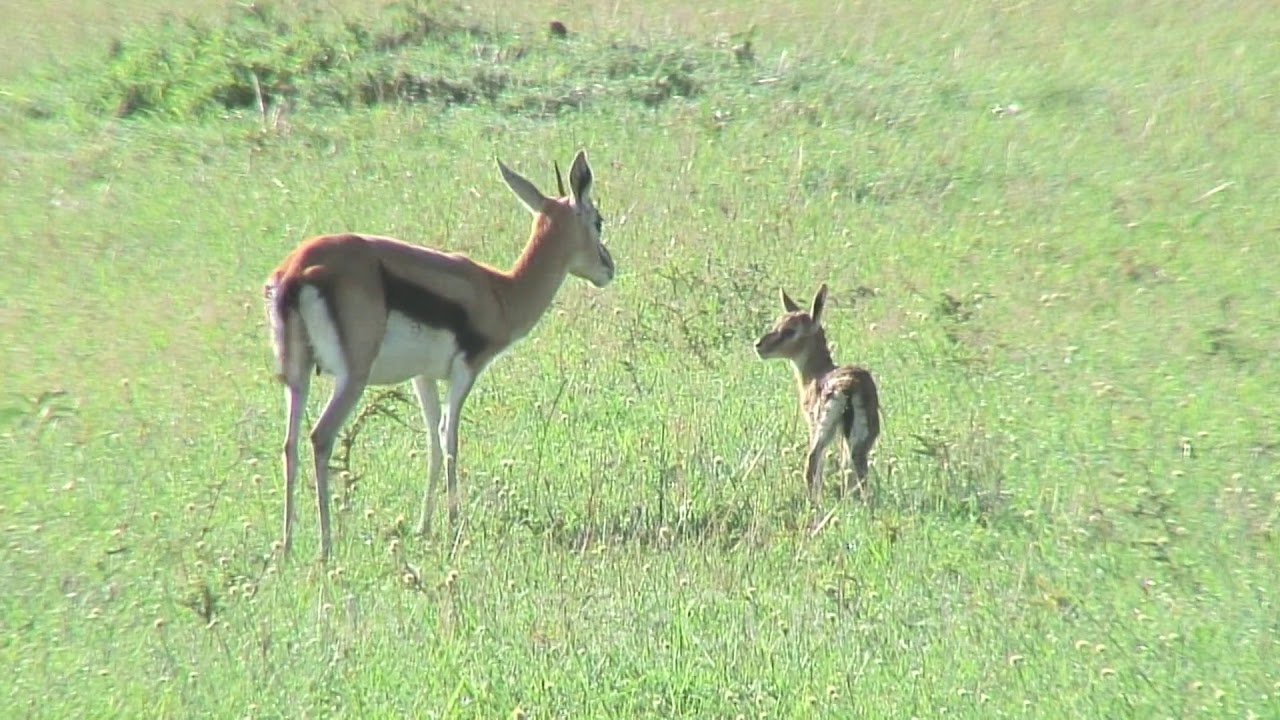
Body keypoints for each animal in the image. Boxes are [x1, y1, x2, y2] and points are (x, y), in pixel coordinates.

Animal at [263, 150, 614, 560]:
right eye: (598, 220)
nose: (609, 267)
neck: (500, 293)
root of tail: (296, 270)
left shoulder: (423, 376)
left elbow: (430, 439)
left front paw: (424, 526)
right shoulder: (465, 371)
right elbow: (450, 437)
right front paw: (454, 523)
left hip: (296, 376)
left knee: (289, 444)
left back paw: (286, 547)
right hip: (353, 378)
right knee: (320, 437)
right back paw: (325, 547)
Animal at [754, 283, 881, 504]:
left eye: (790, 330)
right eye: (777, 322)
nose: (759, 345)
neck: (816, 373)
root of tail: (851, 387)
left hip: (824, 429)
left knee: (813, 460)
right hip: (862, 436)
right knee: (855, 467)